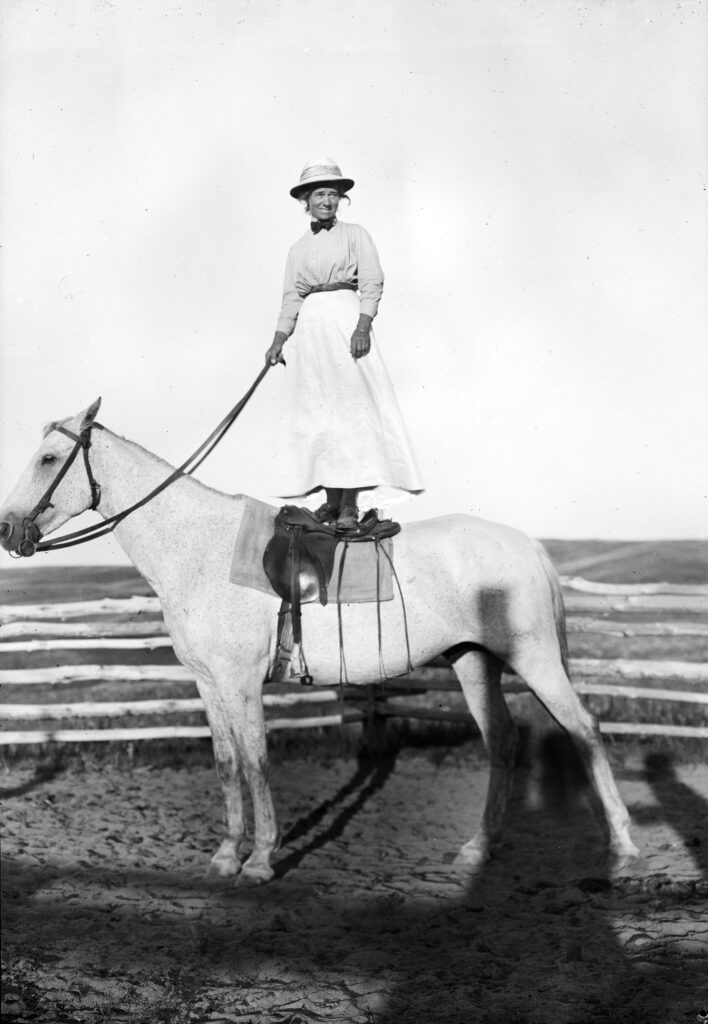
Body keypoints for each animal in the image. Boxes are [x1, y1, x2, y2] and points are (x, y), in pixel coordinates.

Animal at [0, 399, 639, 880]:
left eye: (49, 457)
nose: (8, 530)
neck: (199, 547)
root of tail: (526, 544)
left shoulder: (241, 681)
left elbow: (256, 761)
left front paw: (260, 860)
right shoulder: (209, 683)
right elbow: (226, 764)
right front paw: (226, 856)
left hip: (533, 658)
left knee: (584, 730)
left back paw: (624, 848)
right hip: (473, 661)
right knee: (502, 742)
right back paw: (478, 849)